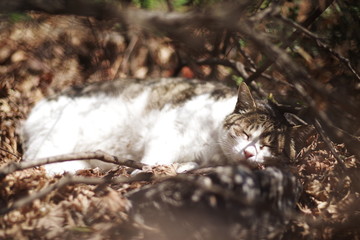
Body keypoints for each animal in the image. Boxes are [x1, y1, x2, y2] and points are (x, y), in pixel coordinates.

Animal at [20, 78, 312, 173]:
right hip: (61, 131)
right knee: (38, 162)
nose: (250, 152)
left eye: (268, 147)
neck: (214, 149)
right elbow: (156, 157)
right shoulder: (169, 127)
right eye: (244, 133)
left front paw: (182, 167)